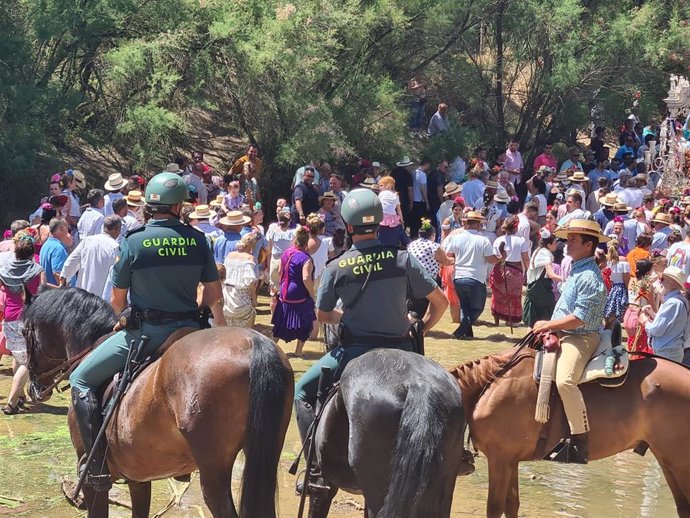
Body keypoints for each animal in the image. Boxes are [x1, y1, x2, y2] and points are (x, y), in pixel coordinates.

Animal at [22, 288, 292, 518]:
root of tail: (253, 343)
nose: (34, 388)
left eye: (25, 333)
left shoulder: (92, 480)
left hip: (214, 473)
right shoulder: (138, 478)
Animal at [448, 346, 690, 518]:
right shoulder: (510, 461)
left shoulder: (499, 459)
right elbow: (512, 506)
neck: (491, 386)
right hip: (667, 459)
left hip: (679, 461)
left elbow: (495, 508)